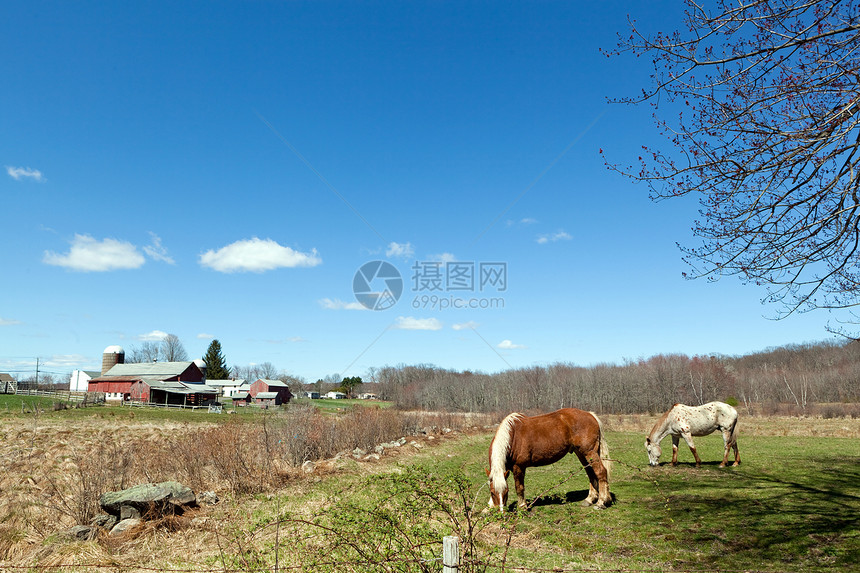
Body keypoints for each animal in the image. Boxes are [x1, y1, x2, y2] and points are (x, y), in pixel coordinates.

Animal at [484, 406, 612, 510]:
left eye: (506, 492)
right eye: (492, 493)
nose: (500, 512)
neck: (512, 437)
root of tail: (590, 415)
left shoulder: (519, 467)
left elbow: (519, 487)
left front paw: (522, 506)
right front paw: (489, 506)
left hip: (590, 452)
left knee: (601, 472)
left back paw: (601, 502)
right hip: (581, 453)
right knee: (590, 473)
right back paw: (590, 499)